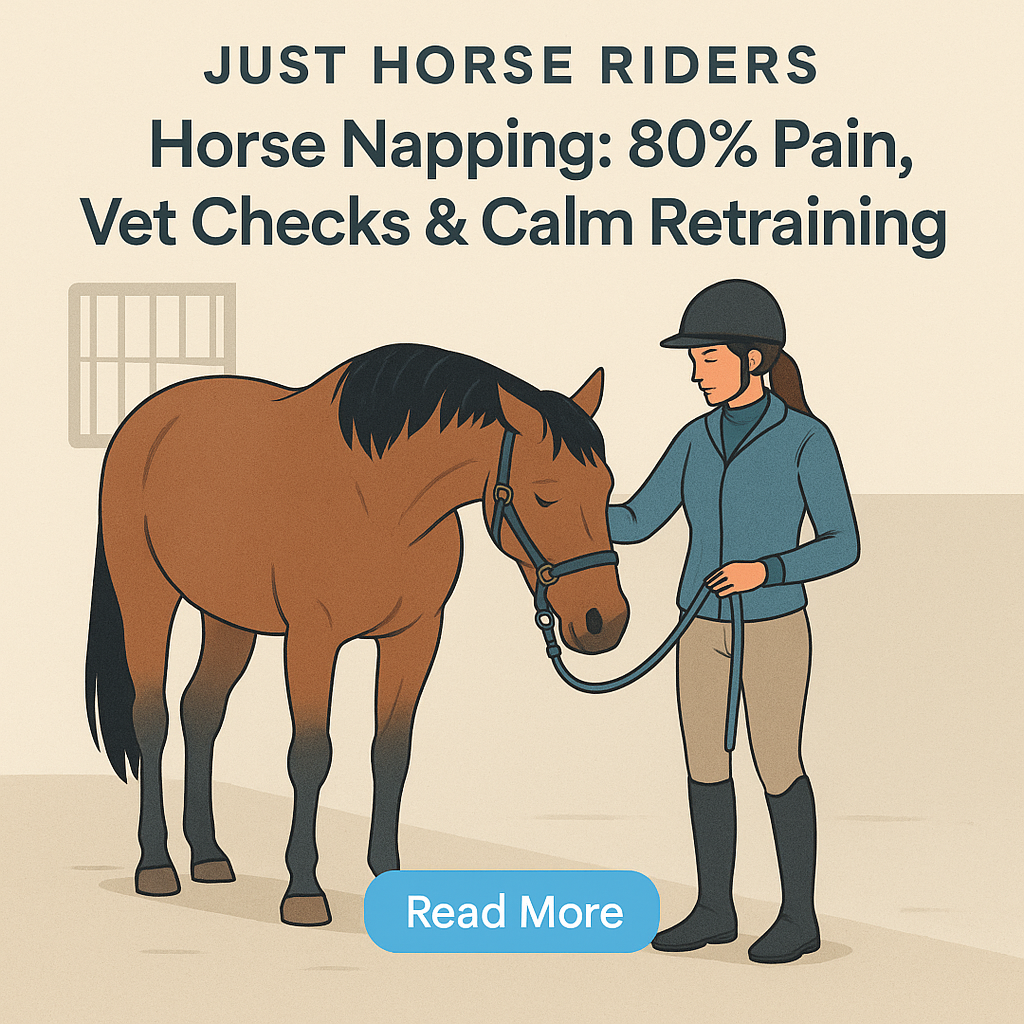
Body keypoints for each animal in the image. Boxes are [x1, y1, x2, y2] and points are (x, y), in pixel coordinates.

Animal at [85, 343, 629, 926]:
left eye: (606, 488)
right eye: (544, 496)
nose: (604, 621)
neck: (382, 502)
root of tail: (150, 415)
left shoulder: (415, 637)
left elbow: (391, 753)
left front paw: (387, 873)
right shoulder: (312, 642)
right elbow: (310, 756)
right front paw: (304, 891)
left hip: (228, 616)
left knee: (201, 711)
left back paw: (208, 856)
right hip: (147, 595)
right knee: (153, 718)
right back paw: (157, 865)